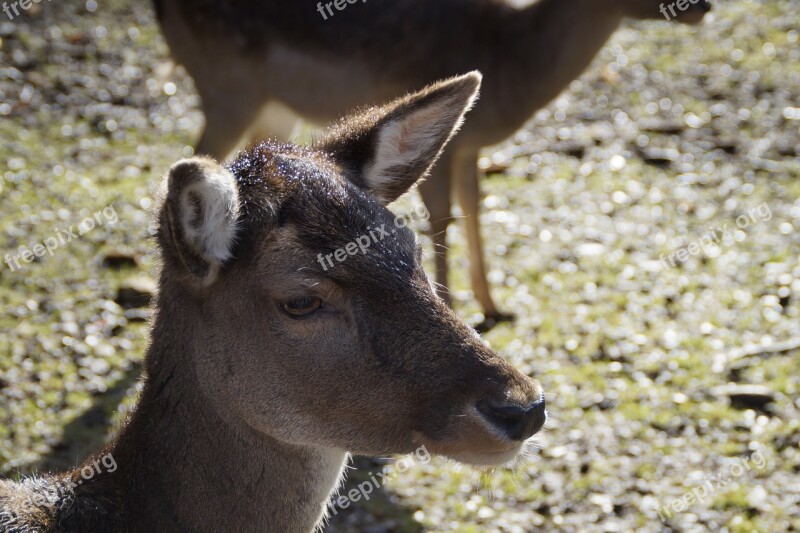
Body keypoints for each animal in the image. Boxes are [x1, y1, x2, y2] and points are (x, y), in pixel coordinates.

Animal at [152, 0, 712, 328]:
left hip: (274, 110)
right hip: (228, 86)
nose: (701, 7)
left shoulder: (468, 147)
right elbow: (443, 217)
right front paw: (455, 303)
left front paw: (494, 305)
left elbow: (475, 207)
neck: (513, 61)